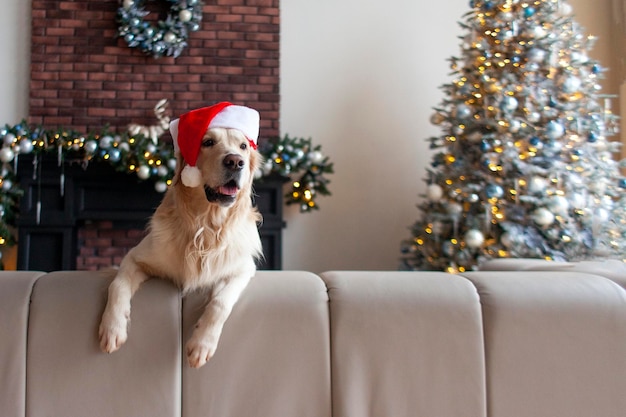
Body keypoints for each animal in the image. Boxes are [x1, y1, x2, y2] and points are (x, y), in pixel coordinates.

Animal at [100, 103, 260, 368]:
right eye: (207, 142)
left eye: (243, 146)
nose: (236, 162)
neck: (205, 226)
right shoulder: (135, 257)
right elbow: (118, 284)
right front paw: (112, 328)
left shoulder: (243, 268)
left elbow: (220, 302)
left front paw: (201, 344)